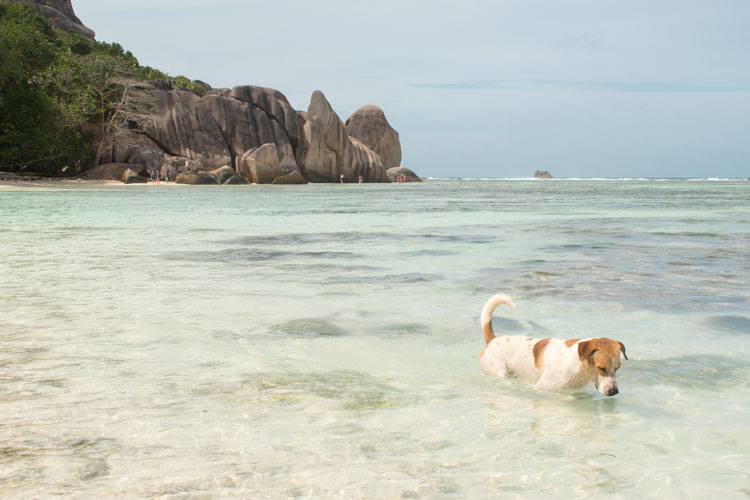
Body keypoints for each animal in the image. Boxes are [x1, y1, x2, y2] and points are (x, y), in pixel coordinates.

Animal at [478, 292, 624, 394]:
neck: (574, 364)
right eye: (601, 368)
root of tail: (493, 339)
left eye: (617, 368)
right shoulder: (542, 388)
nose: (614, 392)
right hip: (499, 372)